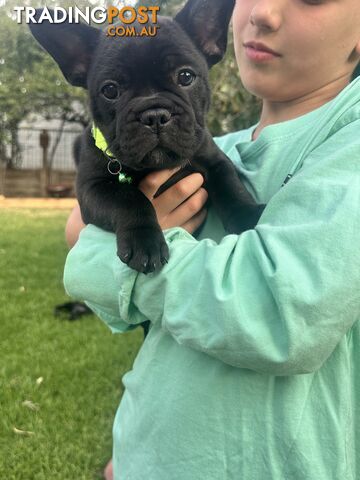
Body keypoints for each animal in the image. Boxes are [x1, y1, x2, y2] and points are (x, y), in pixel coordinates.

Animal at [30, 0, 264, 274]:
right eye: (110, 90)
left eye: (186, 76)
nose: (154, 115)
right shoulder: (93, 188)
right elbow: (129, 198)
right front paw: (144, 240)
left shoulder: (215, 160)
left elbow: (231, 186)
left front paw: (248, 215)